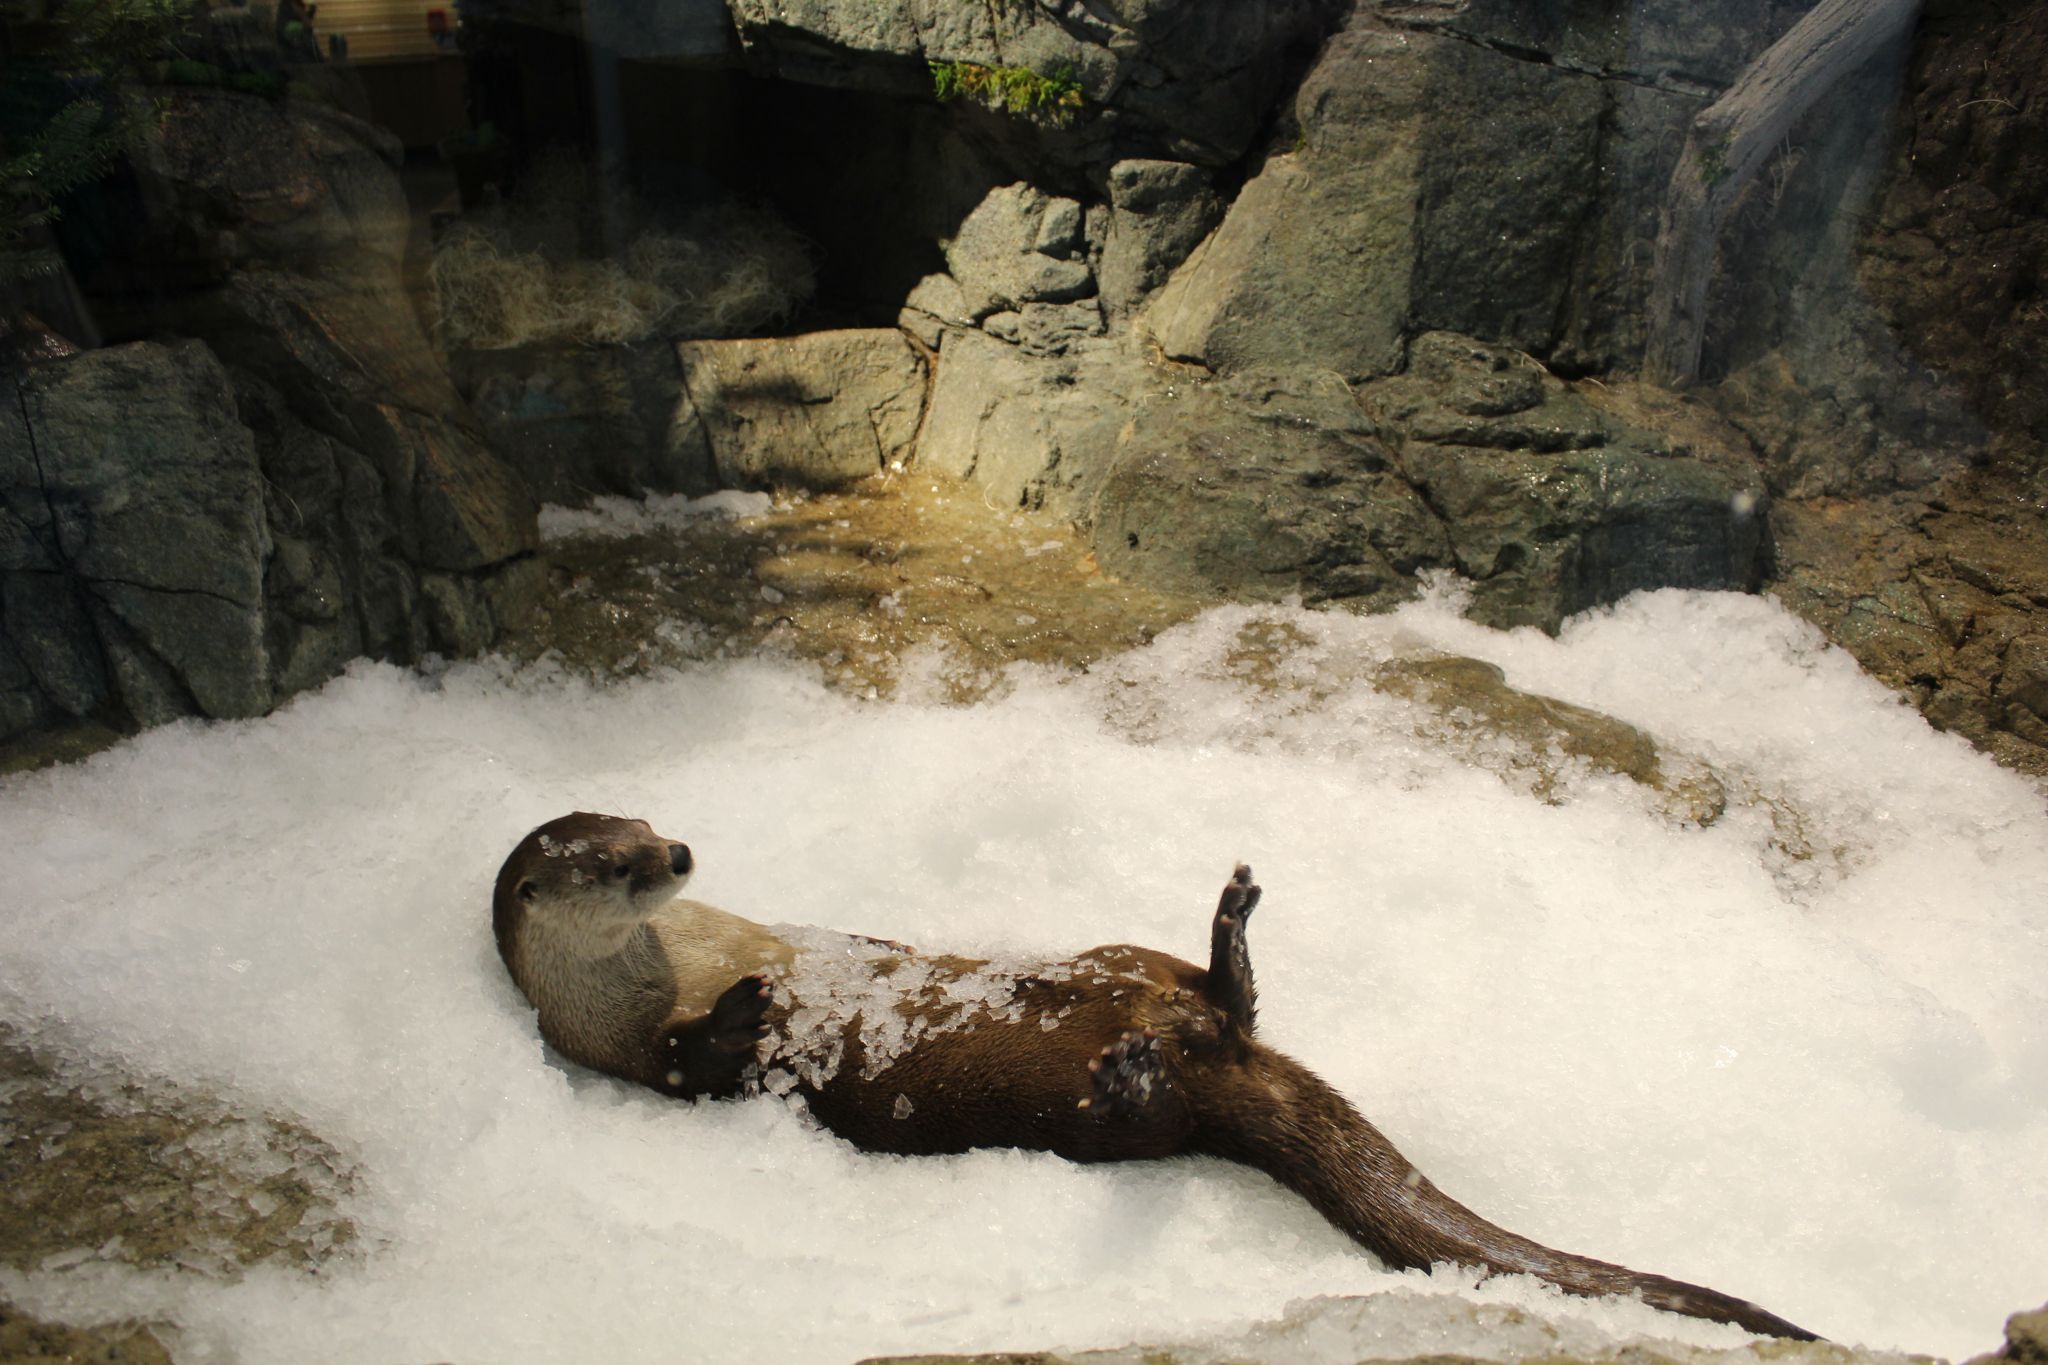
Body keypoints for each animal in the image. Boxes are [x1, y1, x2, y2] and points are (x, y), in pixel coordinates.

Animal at [495, 810, 1826, 1342]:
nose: (675, 850)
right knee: (1154, 1086)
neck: (679, 961)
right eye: (610, 867)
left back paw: (1223, 927)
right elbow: (707, 1059)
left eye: (642, 826)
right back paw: (1148, 1045)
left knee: (1198, 985)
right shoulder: (638, 1057)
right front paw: (753, 1011)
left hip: (1115, 953)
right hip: (1110, 1114)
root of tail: (1203, 1057)